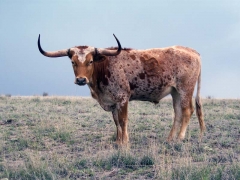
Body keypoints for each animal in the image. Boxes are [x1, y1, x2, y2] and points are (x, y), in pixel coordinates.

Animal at [37, 34, 204, 146]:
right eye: (73, 62)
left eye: (90, 61)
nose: (81, 80)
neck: (104, 66)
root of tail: (192, 51)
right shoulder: (112, 102)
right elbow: (116, 121)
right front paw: (118, 142)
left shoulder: (123, 98)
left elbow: (123, 120)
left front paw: (124, 142)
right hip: (175, 92)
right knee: (178, 113)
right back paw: (170, 139)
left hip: (185, 89)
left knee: (187, 111)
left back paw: (180, 138)